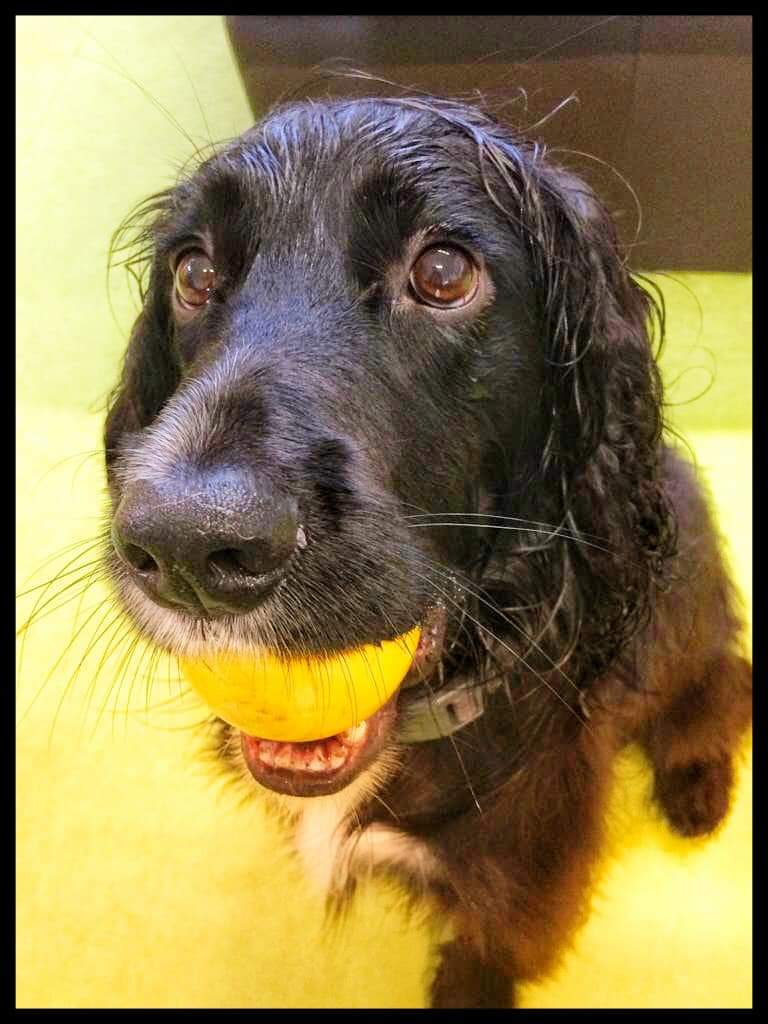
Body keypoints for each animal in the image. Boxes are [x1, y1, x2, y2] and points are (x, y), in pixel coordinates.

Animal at [105, 96, 753, 1007]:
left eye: (444, 272)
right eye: (192, 273)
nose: (187, 545)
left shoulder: (526, 875)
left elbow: (487, 954)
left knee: (721, 690)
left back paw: (697, 785)